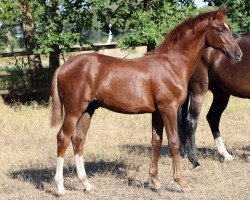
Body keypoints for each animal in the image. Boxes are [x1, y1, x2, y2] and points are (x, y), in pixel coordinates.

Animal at [50, 8, 240, 195]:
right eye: (220, 29)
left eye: (228, 28)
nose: (238, 54)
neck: (171, 65)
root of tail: (63, 67)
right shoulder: (168, 109)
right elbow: (174, 142)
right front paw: (181, 182)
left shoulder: (157, 112)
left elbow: (156, 142)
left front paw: (155, 182)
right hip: (74, 110)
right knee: (63, 138)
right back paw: (60, 187)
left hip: (88, 110)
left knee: (78, 140)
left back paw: (87, 185)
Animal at [179, 33, 249, 168]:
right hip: (198, 90)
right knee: (191, 121)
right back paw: (194, 161)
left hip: (221, 93)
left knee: (212, 117)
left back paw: (225, 155)